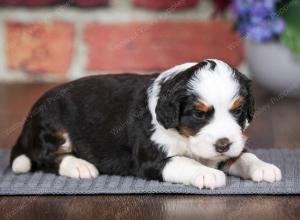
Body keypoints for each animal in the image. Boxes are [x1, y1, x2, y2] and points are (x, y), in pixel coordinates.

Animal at [9, 59, 282, 189]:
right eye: (199, 114)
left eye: (237, 110)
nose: (223, 144)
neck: (183, 135)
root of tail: (30, 116)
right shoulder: (152, 160)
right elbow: (184, 162)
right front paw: (207, 173)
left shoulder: (231, 149)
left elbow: (244, 155)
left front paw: (264, 167)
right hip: (54, 127)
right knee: (46, 156)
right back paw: (79, 166)